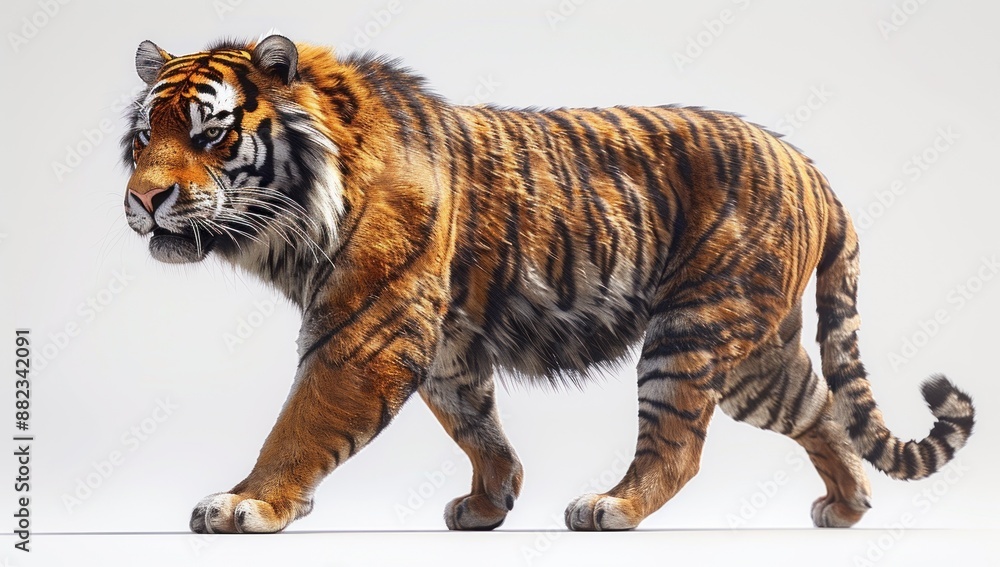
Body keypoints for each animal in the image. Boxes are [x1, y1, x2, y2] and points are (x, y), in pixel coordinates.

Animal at [122, 34, 975, 533]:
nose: (143, 199)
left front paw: (247, 500)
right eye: (140, 141)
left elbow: (300, 423)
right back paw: (848, 506)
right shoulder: (444, 342)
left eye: (210, 133)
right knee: (822, 409)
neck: (294, 225)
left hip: (692, 330)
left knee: (679, 445)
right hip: (757, 354)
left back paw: (614, 505)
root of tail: (812, 169)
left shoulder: (364, 331)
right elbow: (475, 423)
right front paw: (488, 501)